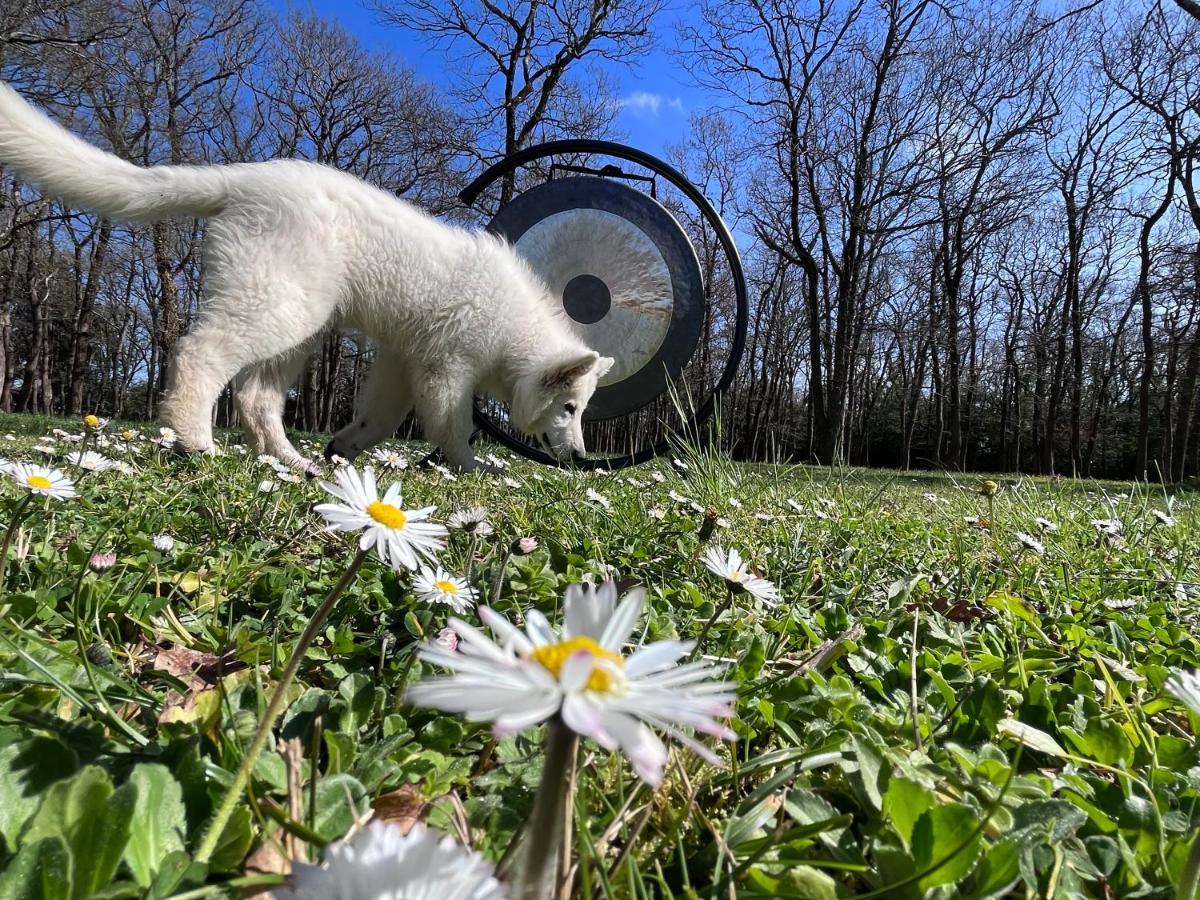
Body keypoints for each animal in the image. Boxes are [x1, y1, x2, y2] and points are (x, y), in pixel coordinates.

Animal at [0, 82, 609, 472]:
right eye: (570, 408)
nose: (582, 456)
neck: (514, 330)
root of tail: (242, 179)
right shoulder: (446, 372)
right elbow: (453, 429)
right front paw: (477, 469)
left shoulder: (401, 363)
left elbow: (380, 418)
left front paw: (343, 449)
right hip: (279, 307)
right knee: (199, 354)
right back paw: (195, 441)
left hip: (298, 327)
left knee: (255, 397)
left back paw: (291, 462)